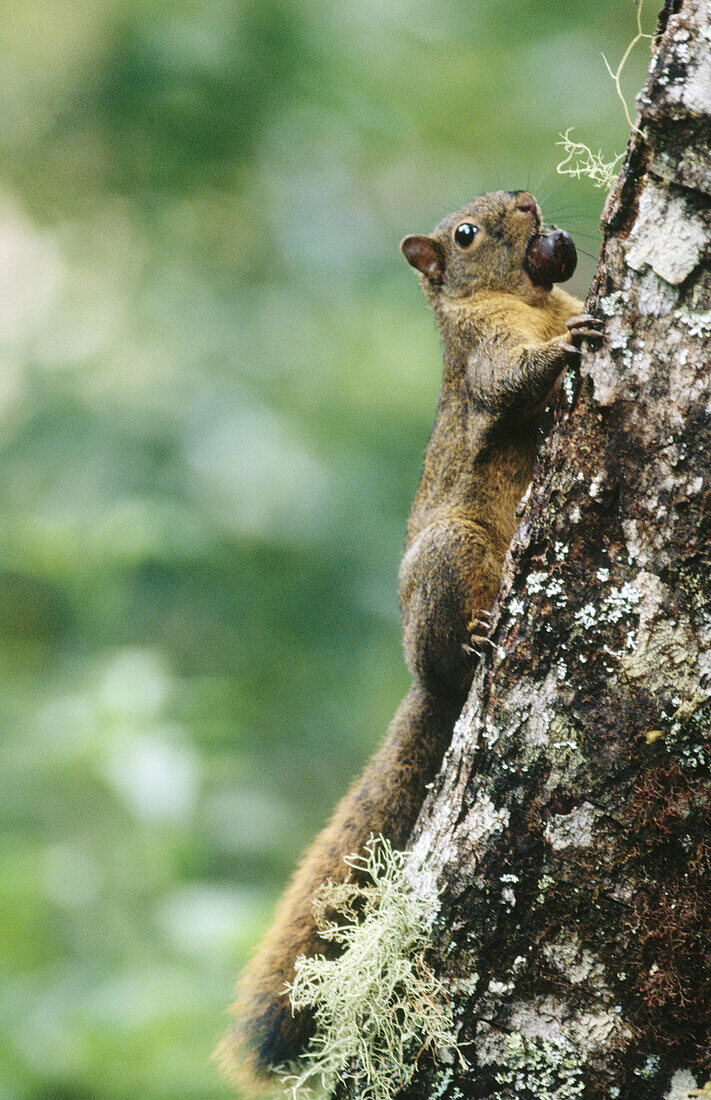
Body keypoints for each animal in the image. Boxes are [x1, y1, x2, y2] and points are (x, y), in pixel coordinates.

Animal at [220, 189, 603, 1091]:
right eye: (463, 233)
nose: (529, 201)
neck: (526, 296)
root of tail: (425, 687)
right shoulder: (480, 350)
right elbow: (507, 378)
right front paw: (566, 347)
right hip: (449, 554)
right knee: (449, 651)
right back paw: (472, 641)